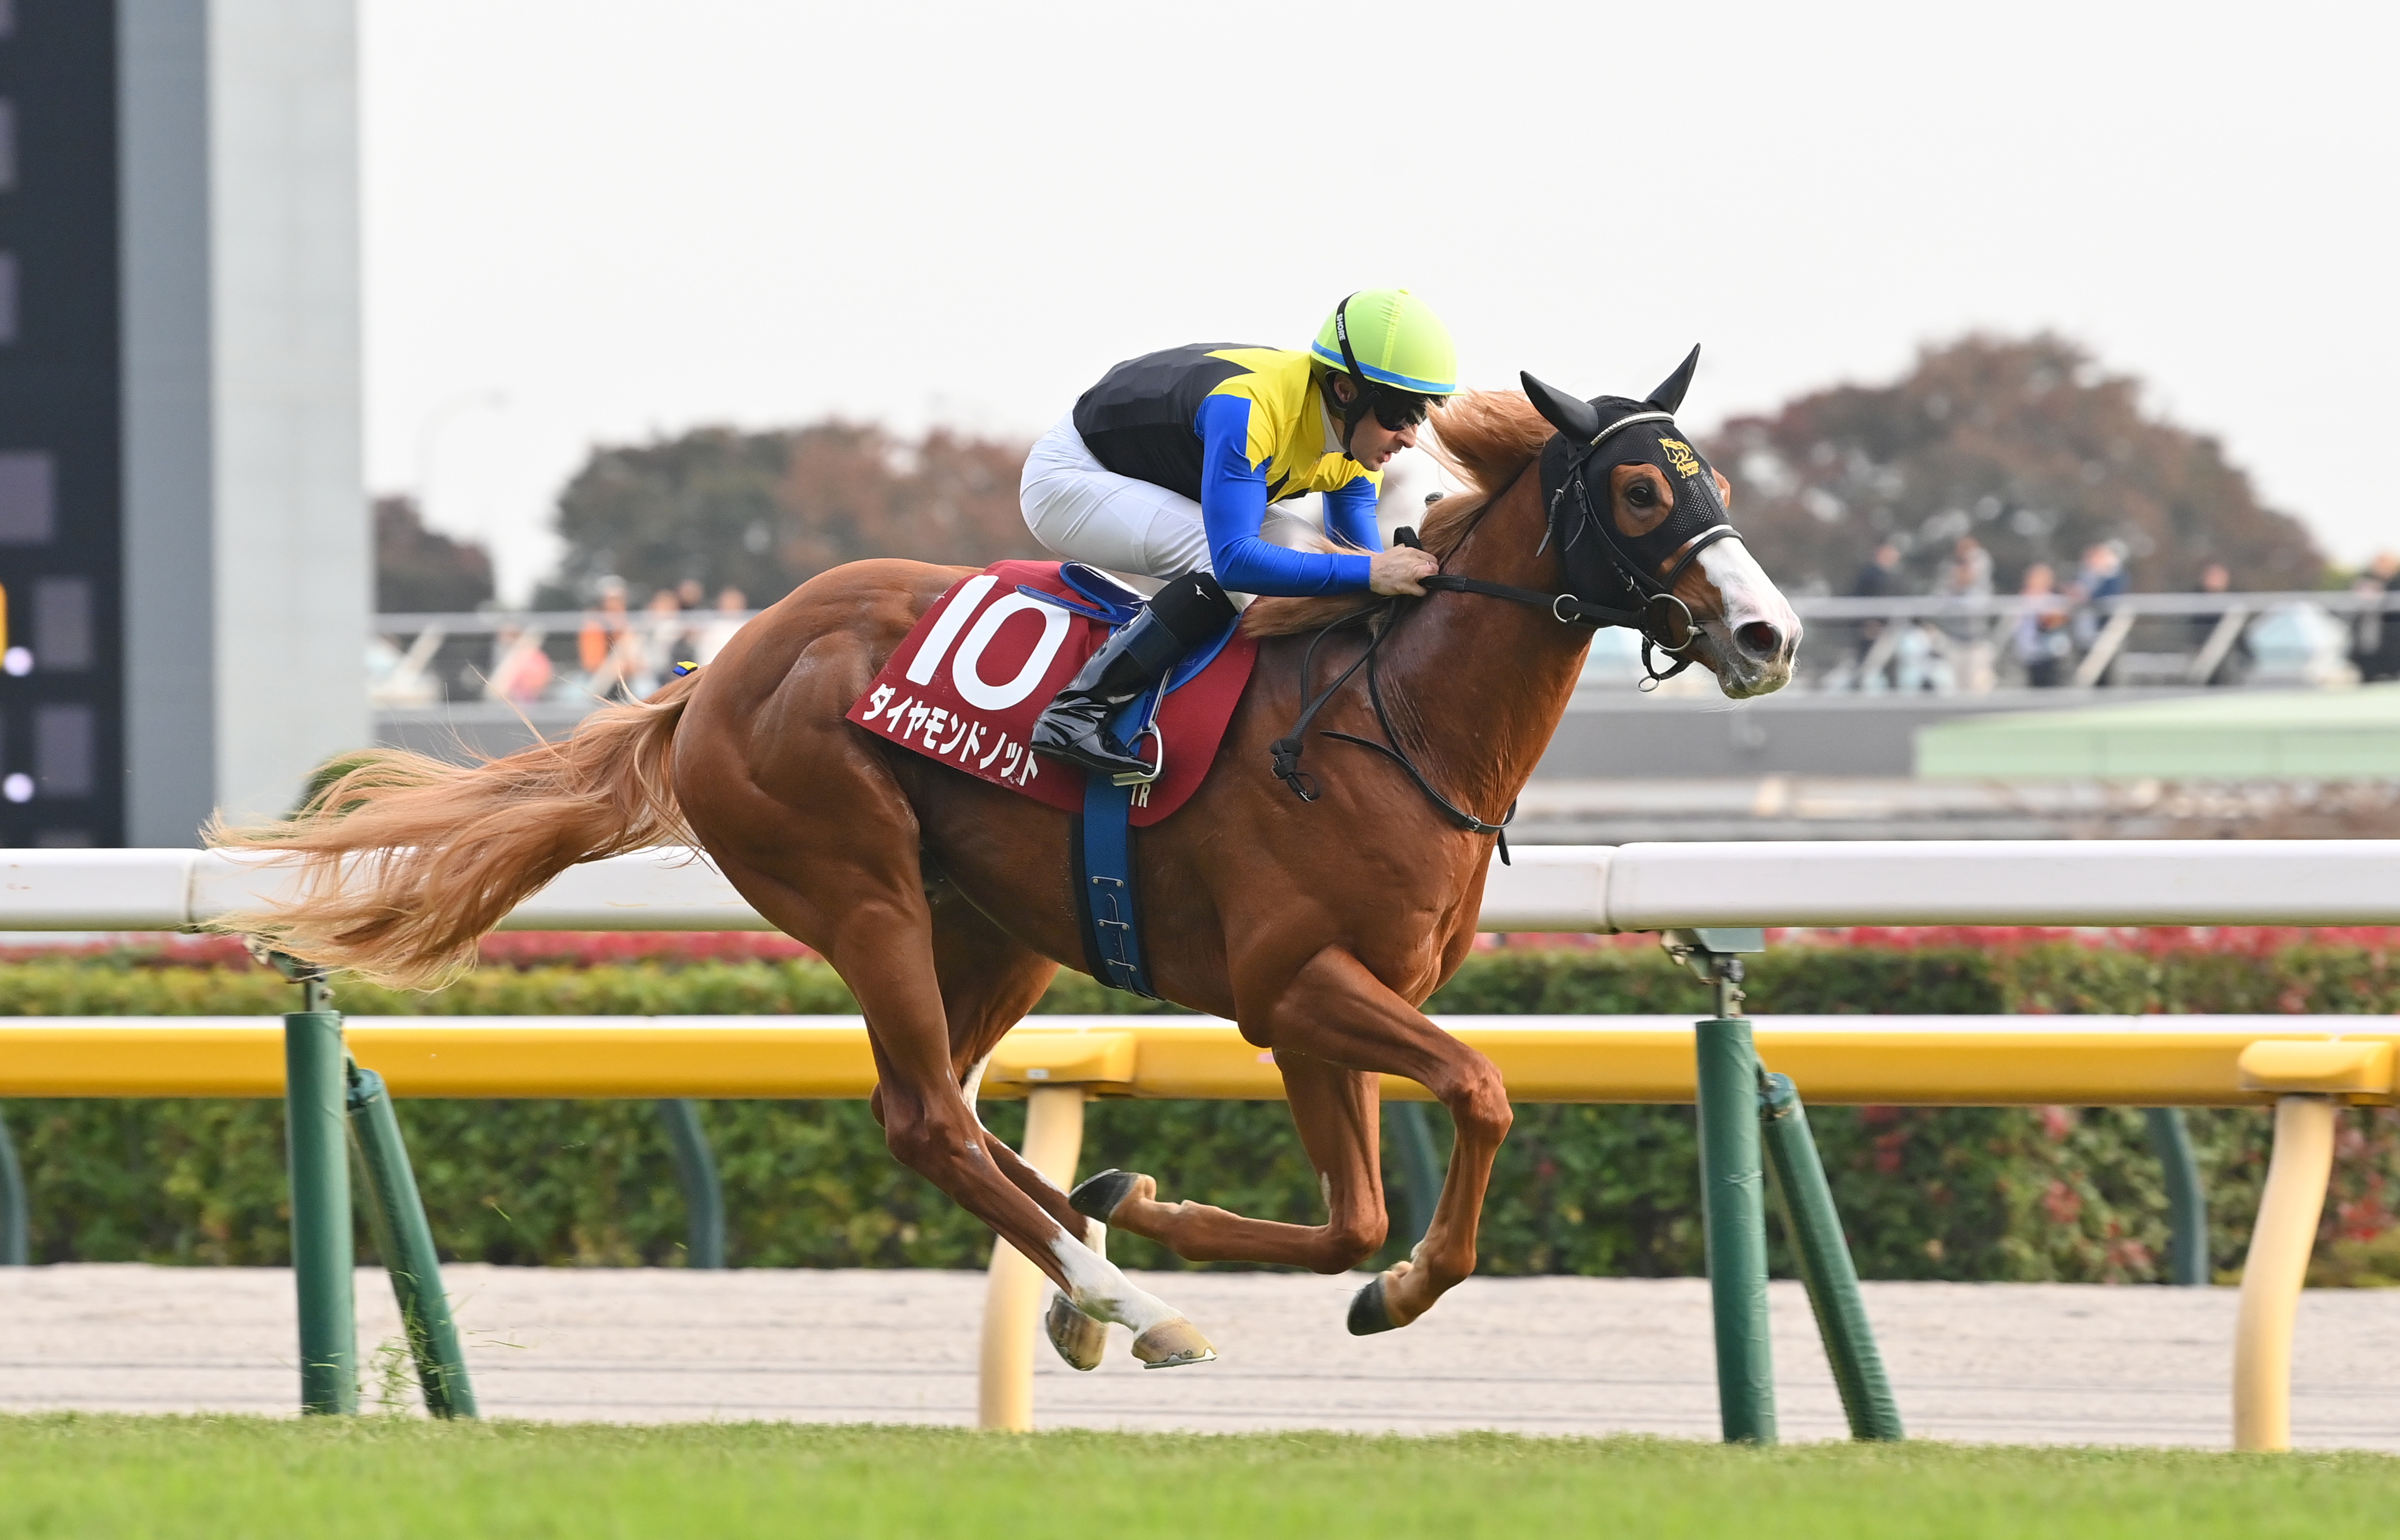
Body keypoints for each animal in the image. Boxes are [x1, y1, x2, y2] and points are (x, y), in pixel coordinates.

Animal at [212, 353, 1800, 1372]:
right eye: (1641, 495)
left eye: (1709, 475)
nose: (1770, 633)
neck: (1389, 719)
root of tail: (719, 670)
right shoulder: (1293, 985)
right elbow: (1477, 1092)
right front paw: (1379, 1291)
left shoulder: (1320, 1006)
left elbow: (1355, 1210)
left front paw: (1167, 1210)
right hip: (856, 888)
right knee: (927, 1118)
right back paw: (1128, 1300)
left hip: (997, 928)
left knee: (950, 1115)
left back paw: (1092, 1276)